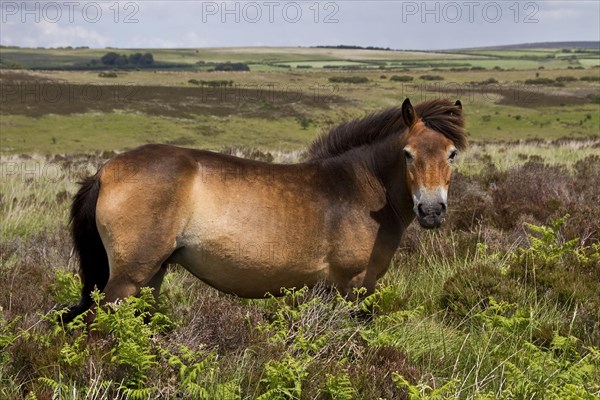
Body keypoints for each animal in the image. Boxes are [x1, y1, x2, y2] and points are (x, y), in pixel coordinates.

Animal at [63, 99, 466, 322]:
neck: (360, 188)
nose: (431, 210)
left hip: (151, 276)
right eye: (407, 154)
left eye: (451, 153)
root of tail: (104, 172)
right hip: (127, 280)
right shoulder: (352, 286)